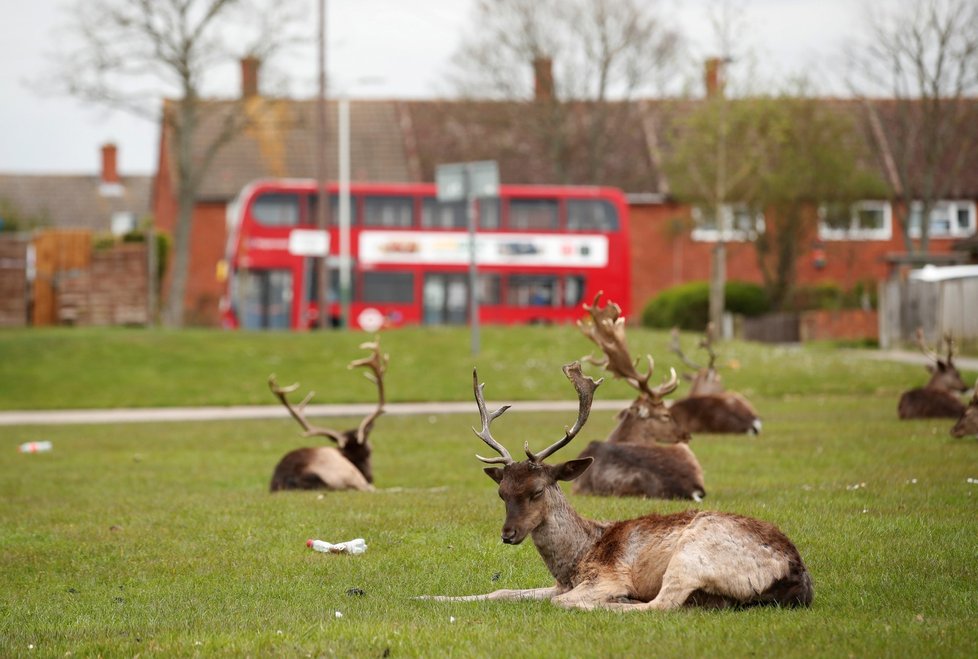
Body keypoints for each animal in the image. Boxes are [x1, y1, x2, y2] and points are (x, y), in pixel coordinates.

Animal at [416, 364, 812, 612]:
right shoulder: (562, 584)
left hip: (694, 554)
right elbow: (502, 590)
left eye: (537, 491)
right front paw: (428, 598)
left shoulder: (605, 577)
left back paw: (624, 603)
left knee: (662, 605)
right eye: (502, 494)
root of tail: (796, 573)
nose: (508, 533)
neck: (574, 561)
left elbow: (560, 600)